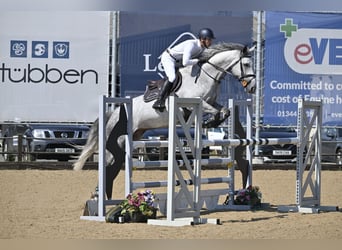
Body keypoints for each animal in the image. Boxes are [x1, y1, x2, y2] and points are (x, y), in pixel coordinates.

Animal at [73, 43, 255, 199]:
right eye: (246, 64)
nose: (252, 88)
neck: (204, 77)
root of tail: (114, 113)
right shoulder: (198, 104)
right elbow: (216, 111)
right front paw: (210, 122)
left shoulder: (212, 102)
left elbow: (225, 110)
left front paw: (212, 122)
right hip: (118, 140)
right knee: (107, 163)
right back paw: (98, 195)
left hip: (134, 136)